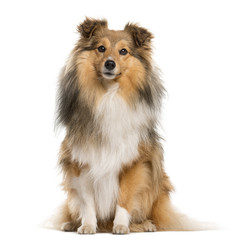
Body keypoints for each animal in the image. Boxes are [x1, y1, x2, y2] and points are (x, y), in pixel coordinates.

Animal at [56, 17, 194, 234]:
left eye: (123, 51)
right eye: (101, 48)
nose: (110, 64)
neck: (109, 94)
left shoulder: (133, 162)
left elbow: (125, 197)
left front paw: (120, 225)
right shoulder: (81, 161)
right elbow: (87, 201)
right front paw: (87, 225)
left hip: (158, 187)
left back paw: (145, 224)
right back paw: (71, 224)